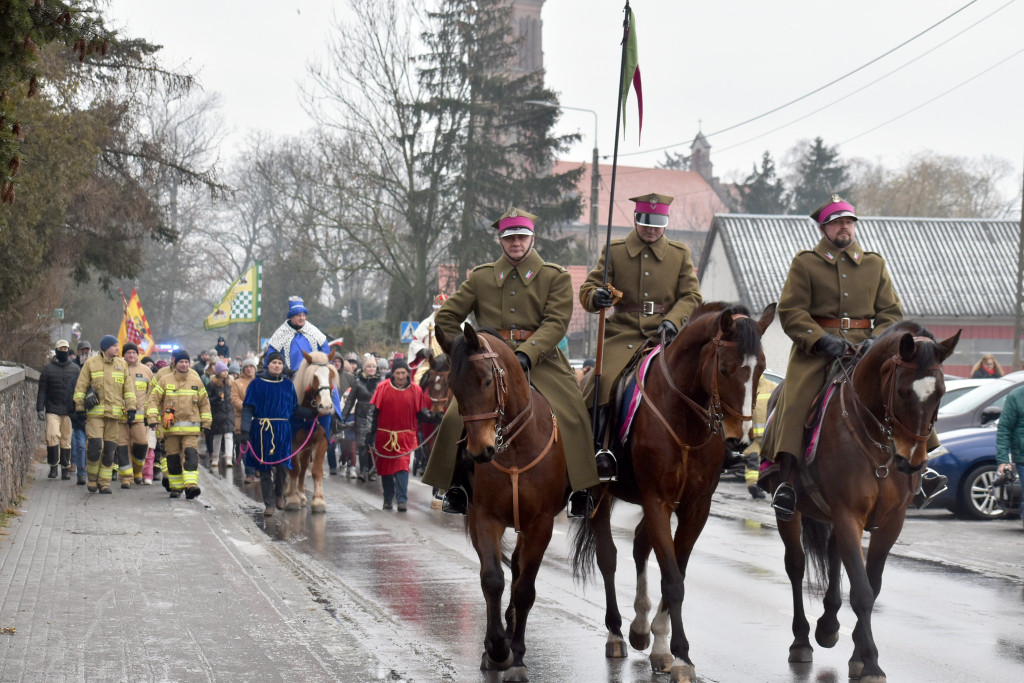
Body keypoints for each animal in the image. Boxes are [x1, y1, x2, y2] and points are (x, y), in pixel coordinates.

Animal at [284, 352, 339, 511]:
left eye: (330, 374)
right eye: (313, 376)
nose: (326, 406)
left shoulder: (322, 440)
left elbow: (316, 470)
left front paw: (318, 500)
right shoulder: (292, 442)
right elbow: (293, 469)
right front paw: (292, 498)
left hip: (307, 446)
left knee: (303, 467)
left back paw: (301, 493)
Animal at [438, 323, 585, 679]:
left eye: (487, 381)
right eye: (453, 387)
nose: (478, 452)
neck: (515, 445)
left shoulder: (540, 524)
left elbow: (524, 588)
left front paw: (516, 654)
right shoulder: (485, 518)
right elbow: (492, 579)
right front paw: (496, 648)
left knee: (519, 570)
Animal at [569, 305, 774, 683]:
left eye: (762, 369)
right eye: (724, 369)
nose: (740, 439)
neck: (686, 421)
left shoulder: (695, 508)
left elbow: (674, 571)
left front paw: (664, 647)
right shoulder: (658, 502)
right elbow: (673, 580)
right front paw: (681, 655)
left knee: (639, 546)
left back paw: (639, 628)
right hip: (603, 495)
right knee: (608, 557)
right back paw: (616, 633)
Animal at [770, 321, 954, 683]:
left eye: (940, 393)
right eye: (902, 392)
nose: (911, 462)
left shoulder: (891, 522)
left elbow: (872, 583)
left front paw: (857, 653)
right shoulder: (848, 515)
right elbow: (862, 591)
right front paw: (870, 662)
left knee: (833, 555)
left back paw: (828, 626)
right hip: (791, 512)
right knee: (796, 566)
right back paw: (802, 640)